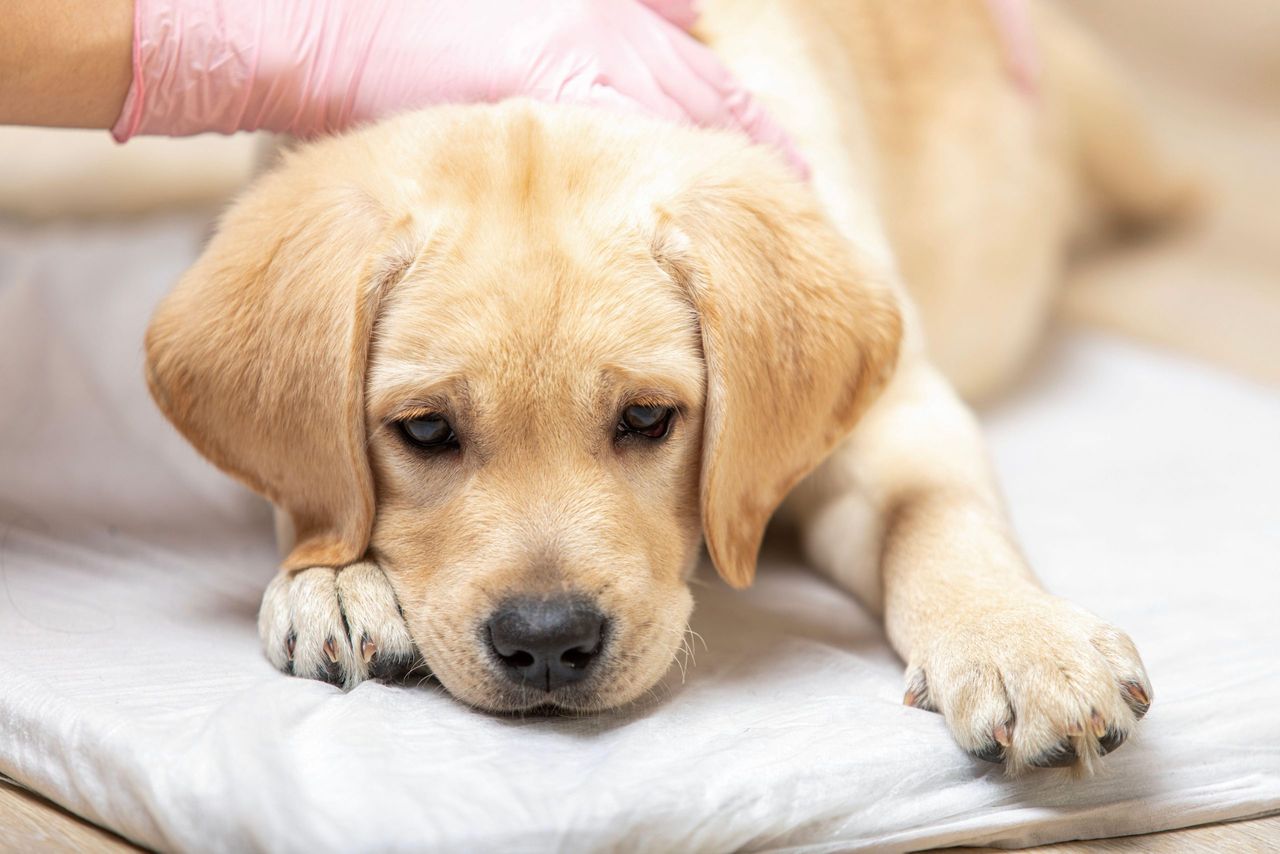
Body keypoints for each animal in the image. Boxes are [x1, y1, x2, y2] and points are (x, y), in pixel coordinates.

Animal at [145, 0, 1192, 773]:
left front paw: (1020, 640)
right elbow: (311, 489)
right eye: (428, 431)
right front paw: (331, 576)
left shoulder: (897, 407)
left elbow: (940, 515)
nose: (547, 642)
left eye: (648, 417)